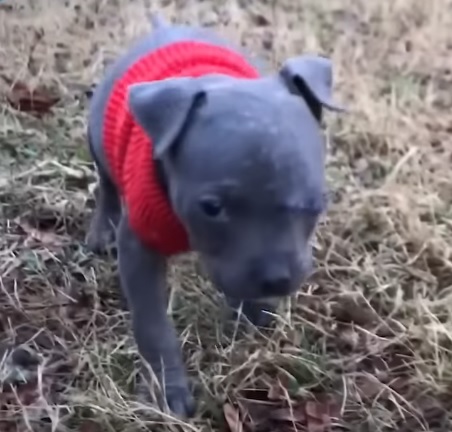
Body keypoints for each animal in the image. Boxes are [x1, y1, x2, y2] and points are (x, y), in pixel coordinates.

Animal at [85, 15, 342, 416]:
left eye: (317, 202)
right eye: (212, 208)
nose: (276, 279)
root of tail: (164, 27)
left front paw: (254, 313)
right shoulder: (139, 248)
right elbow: (153, 326)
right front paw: (167, 390)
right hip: (98, 134)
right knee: (107, 182)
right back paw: (101, 231)